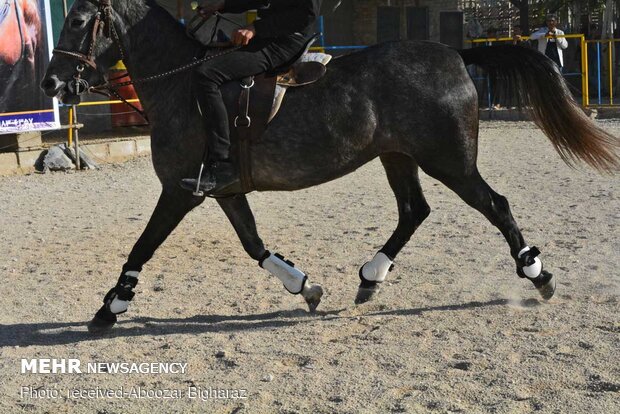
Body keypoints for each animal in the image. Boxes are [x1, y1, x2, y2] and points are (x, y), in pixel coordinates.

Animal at [41, 0, 616, 334]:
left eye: (78, 20)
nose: (50, 84)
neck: (182, 84)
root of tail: (455, 55)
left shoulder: (181, 191)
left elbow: (143, 245)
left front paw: (110, 308)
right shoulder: (223, 189)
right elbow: (253, 244)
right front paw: (304, 286)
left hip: (449, 160)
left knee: (495, 205)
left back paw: (539, 276)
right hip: (398, 157)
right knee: (414, 211)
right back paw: (370, 278)